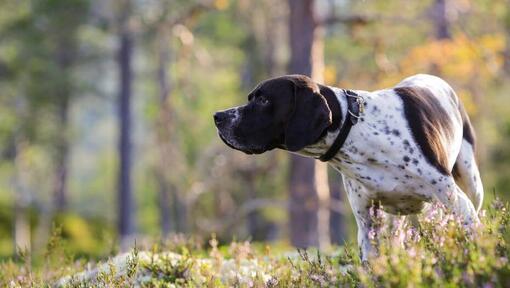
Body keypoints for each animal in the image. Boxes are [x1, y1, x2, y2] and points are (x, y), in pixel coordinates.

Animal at [213, 73, 484, 260]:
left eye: (263, 99)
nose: (217, 116)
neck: (356, 129)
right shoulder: (367, 225)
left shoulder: (460, 206)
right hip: (394, 220)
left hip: (471, 186)